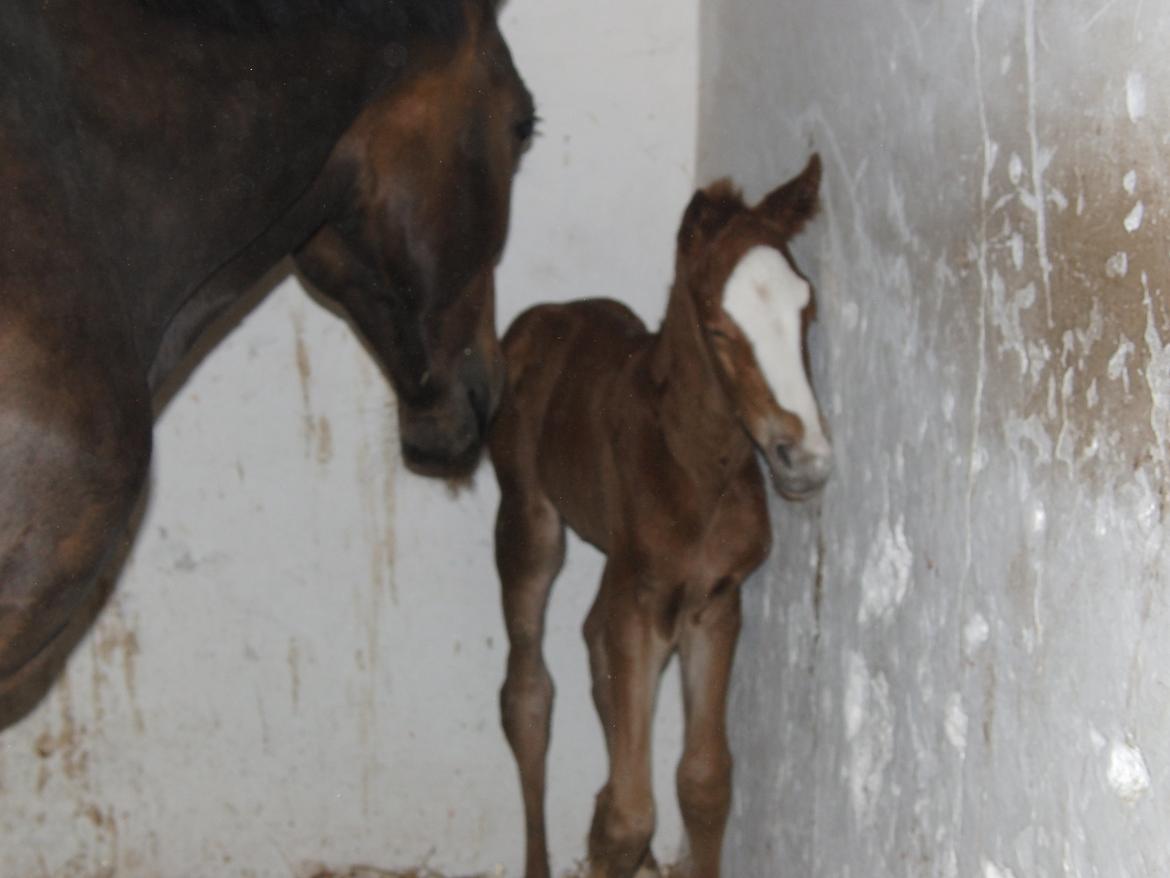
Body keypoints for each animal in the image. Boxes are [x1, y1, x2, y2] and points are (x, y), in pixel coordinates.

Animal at [491, 154, 833, 875]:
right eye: (717, 327)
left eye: (807, 308)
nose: (806, 459)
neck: (696, 464)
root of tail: (544, 317)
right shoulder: (645, 600)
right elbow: (628, 814)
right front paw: (617, 834)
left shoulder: (715, 600)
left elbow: (704, 782)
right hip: (530, 520)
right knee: (527, 690)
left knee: (592, 638)